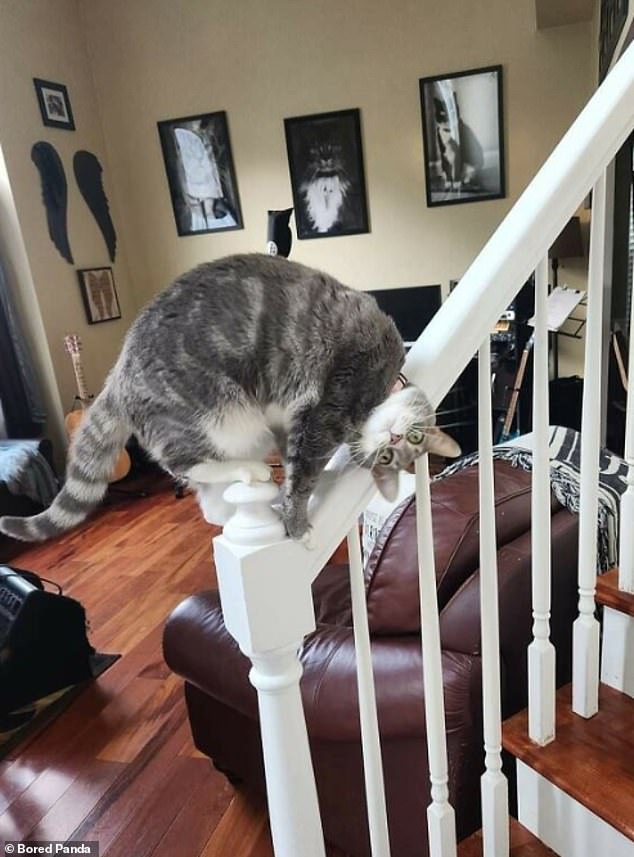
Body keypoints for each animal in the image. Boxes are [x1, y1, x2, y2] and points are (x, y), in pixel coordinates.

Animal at [0, 254, 456, 540]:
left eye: (392, 456)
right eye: (412, 439)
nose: (392, 441)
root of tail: (120, 371)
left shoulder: (289, 420)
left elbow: (297, 461)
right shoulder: (328, 406)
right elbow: (303, 470)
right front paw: (296, 522)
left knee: (206, 500)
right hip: (219, 414)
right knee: (183, 462)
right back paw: (247, 472)